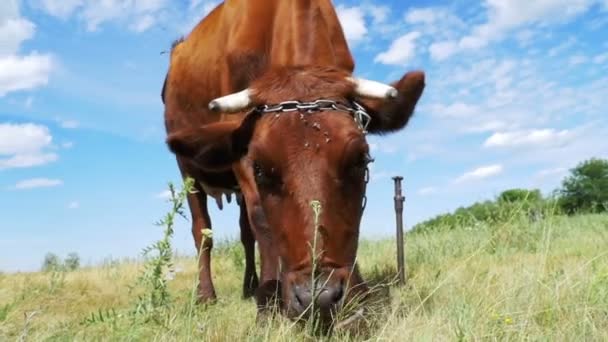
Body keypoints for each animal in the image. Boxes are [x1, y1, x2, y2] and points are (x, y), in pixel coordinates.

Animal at [162, 0, 428, 324]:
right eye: (261, 168)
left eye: (361, 159)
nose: (320, 297)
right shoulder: (241, 154)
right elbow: (261, 218)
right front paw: (268, 301)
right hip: (187, 169)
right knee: (203, 231)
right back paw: (207, 295)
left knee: (244, 232)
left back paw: (249, 287)